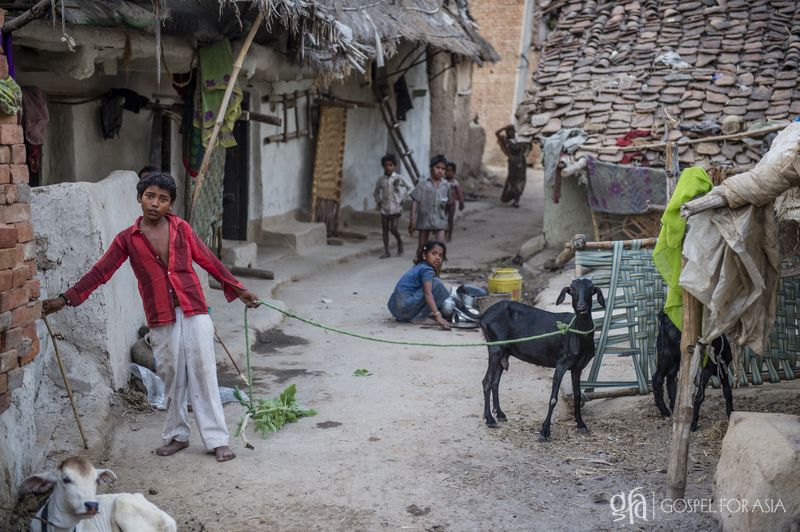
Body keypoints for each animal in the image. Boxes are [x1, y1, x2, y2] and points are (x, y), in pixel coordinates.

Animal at [478, 278, 604, 440]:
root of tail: (484, 317)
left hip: (504, 351)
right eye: (572, 290)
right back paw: (489, 419)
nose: (582, 307)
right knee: (486, 382)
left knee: (495, 382)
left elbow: (577, 395)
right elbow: (553, 399)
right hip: (495, 348)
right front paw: (544, 431)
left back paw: (500, 414)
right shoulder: (561, 364)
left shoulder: (577, 367)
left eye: (591, 289)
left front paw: (581, 424)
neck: (577, 333)